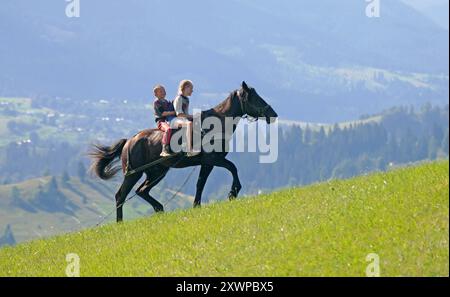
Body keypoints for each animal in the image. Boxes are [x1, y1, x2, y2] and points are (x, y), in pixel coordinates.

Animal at [88, 80, 278, 221]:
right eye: (255, 98)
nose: (274, 115)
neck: (214, 125)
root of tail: (129, 141)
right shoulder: (213, 160)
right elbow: (232, 168)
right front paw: (233, 192)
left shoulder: (206, 163)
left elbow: (200, 183)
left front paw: (197, 205)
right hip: (133, 173)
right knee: (120, 195)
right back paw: (120, 222)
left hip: (157, 172)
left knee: (142, 191)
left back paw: (159, 208)